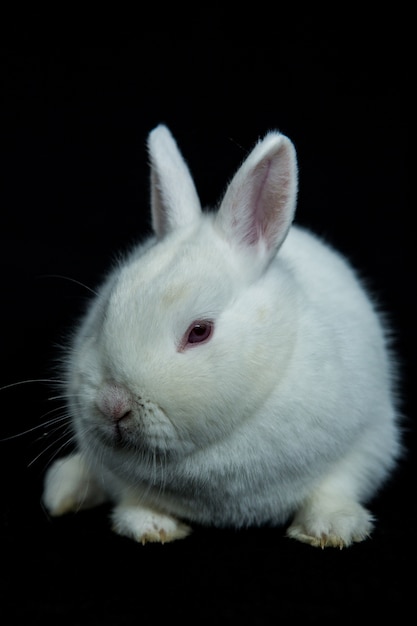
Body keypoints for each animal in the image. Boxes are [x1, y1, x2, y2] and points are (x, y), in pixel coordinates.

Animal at [42, 124, 400, 544]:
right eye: (106, 312)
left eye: (199, 332)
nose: (113, 404)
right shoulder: (118, 476)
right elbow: (133, 500)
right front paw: (152, 526)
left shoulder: (365, 443)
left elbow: (334, 488)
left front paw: (331, 529)